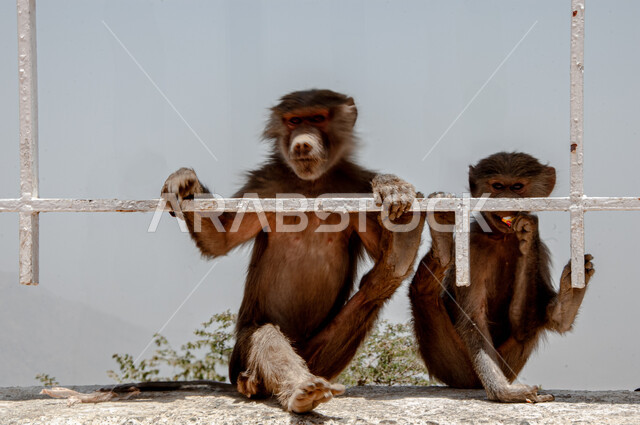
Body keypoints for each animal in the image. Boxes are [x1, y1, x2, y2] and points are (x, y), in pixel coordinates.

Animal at [161, 89, 425, 413]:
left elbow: (379, 245)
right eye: (294, 121)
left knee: (373, 293)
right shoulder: (264, 184)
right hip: (241, 359)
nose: (302, 143)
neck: (311, 184)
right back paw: (296, 389)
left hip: (319, 359)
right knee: (264, 336)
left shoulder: (356, 184)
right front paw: (186, 183)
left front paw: (392, 188)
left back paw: (400, 253)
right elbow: (219, 240)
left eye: (318, 118)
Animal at [409, 152, 595, 403]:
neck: (501, 237)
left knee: (545, 320)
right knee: (422, 292)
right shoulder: (473, 247)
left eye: (517, 187)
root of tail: (472, 384)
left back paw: (570, 297)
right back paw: (442, 238)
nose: (506, 199)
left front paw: (528, 231)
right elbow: (473, 318)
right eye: (497, 186)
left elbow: (523, 324)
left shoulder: (541, 249)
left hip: (507, 364)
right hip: (455, 366)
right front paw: (503, 392)